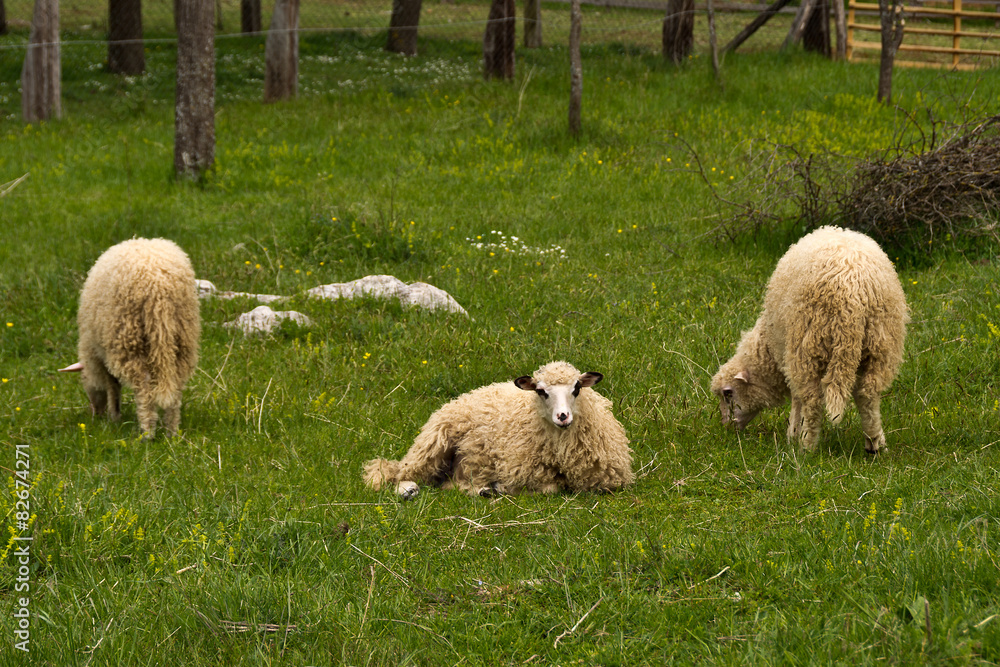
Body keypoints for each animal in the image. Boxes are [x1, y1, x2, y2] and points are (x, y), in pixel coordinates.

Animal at [60, 238, 201, 439]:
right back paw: (171, 432)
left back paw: (147, 433)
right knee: (176, 387)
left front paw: (114, 416)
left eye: (83, 380)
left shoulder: (102, 353)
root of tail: (158, 287)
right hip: (182, 337)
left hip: (128, 337)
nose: (95, 413)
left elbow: (113, 386)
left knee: (144, 388)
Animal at [363, 361, 634, 500]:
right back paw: (408, 490)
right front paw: (503, 487)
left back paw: (483, 490)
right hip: (433, 445)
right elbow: (550, 488)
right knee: (394, 472)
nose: (563, 417)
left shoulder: (606, 481)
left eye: (577, 388)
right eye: (541, 391)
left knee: (448, 484)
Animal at [710, 226, 908, 453]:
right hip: (880, 343)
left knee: (812, 400)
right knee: (868, 395)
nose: (726, 428)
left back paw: (807, 447)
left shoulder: (789, 355)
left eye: (728, 393)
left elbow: (797, 399)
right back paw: (875, 445)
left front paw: (793, 434)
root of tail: (851, 291)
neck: (767, 348)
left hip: (808, 342)